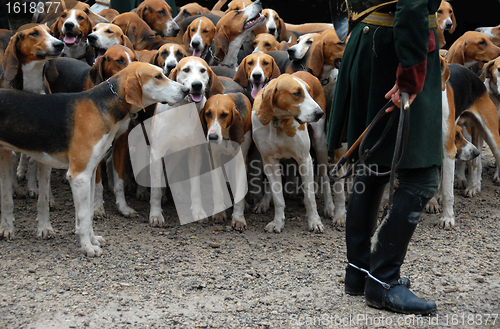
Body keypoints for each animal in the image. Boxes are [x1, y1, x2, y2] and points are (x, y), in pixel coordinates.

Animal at [0, 62, 189, 256]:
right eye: (158, 77)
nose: (187, 90)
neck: (100, 106)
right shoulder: (79, 176)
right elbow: (84, 215)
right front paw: (87, 247)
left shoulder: (89, 174)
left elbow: (89, 213)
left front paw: (92, 240)